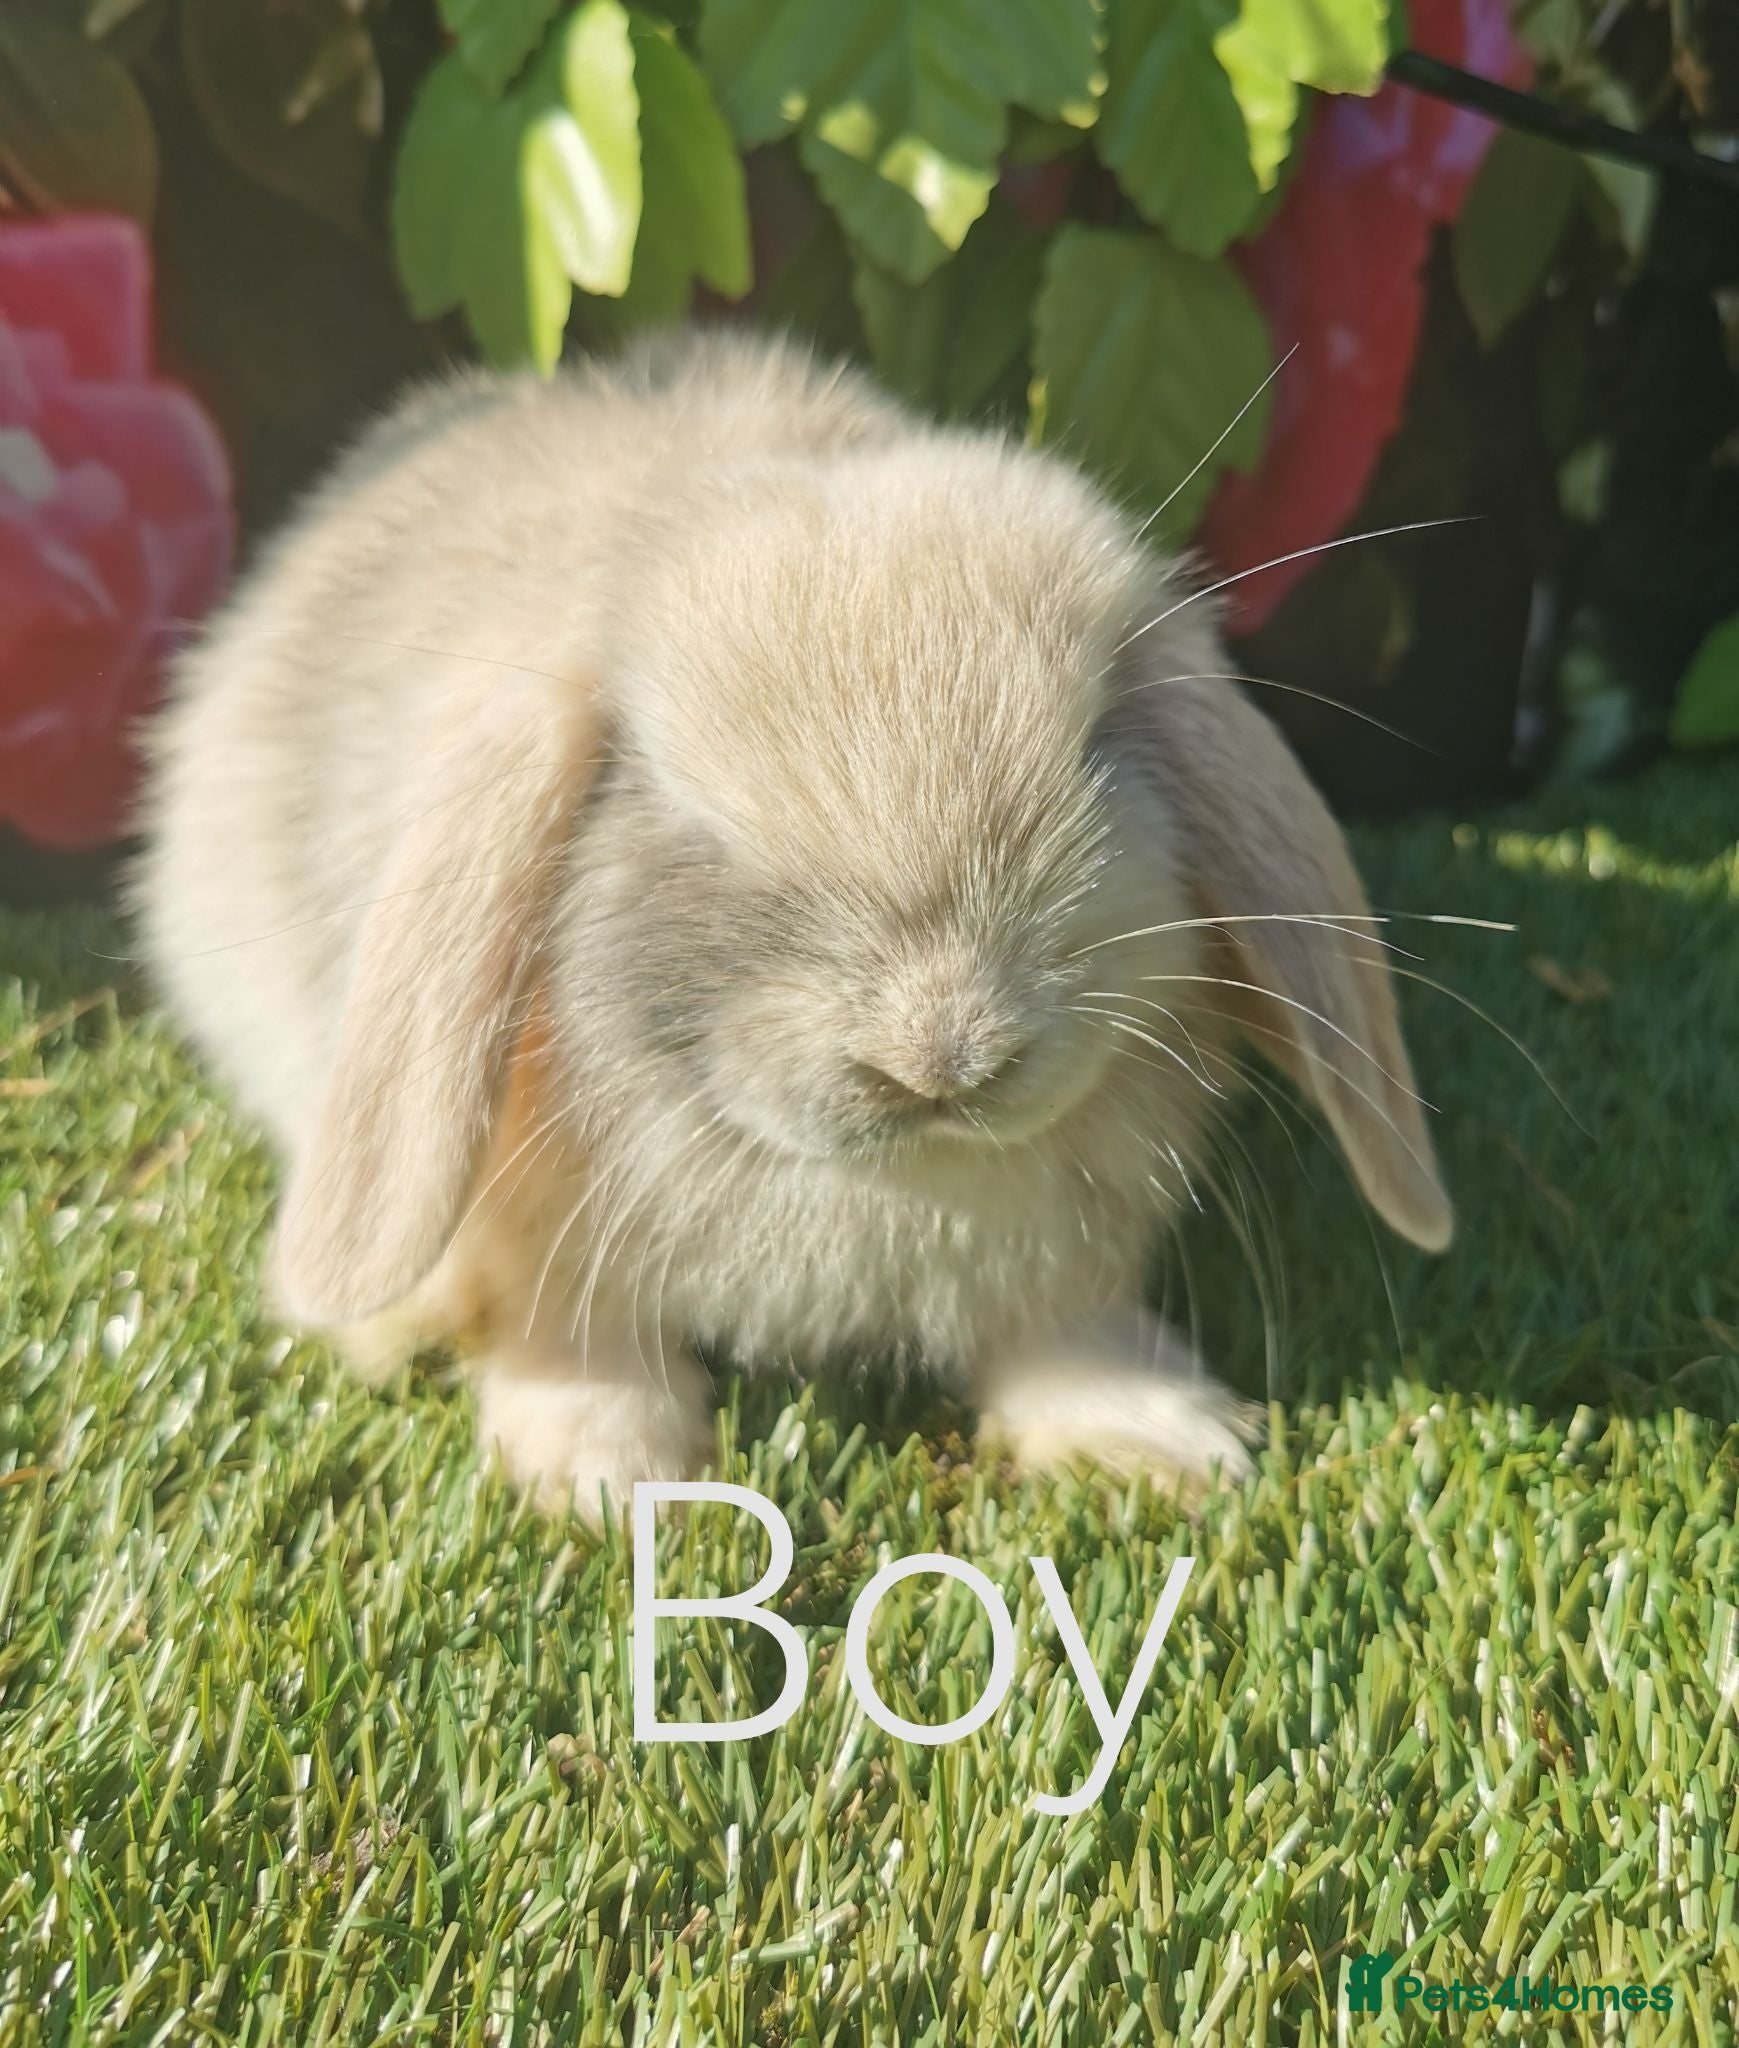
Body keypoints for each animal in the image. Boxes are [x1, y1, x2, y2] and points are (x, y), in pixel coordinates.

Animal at [136, 329, 1452, 1519]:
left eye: (1095, 747)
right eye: (680, 805)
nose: (942, 1054)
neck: (887, 1180)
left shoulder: (1062, 1256)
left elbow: (1063, 1330)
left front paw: (1156, 1442)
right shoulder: (537, 1230)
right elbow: (572, 1336)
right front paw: (606, 1478)